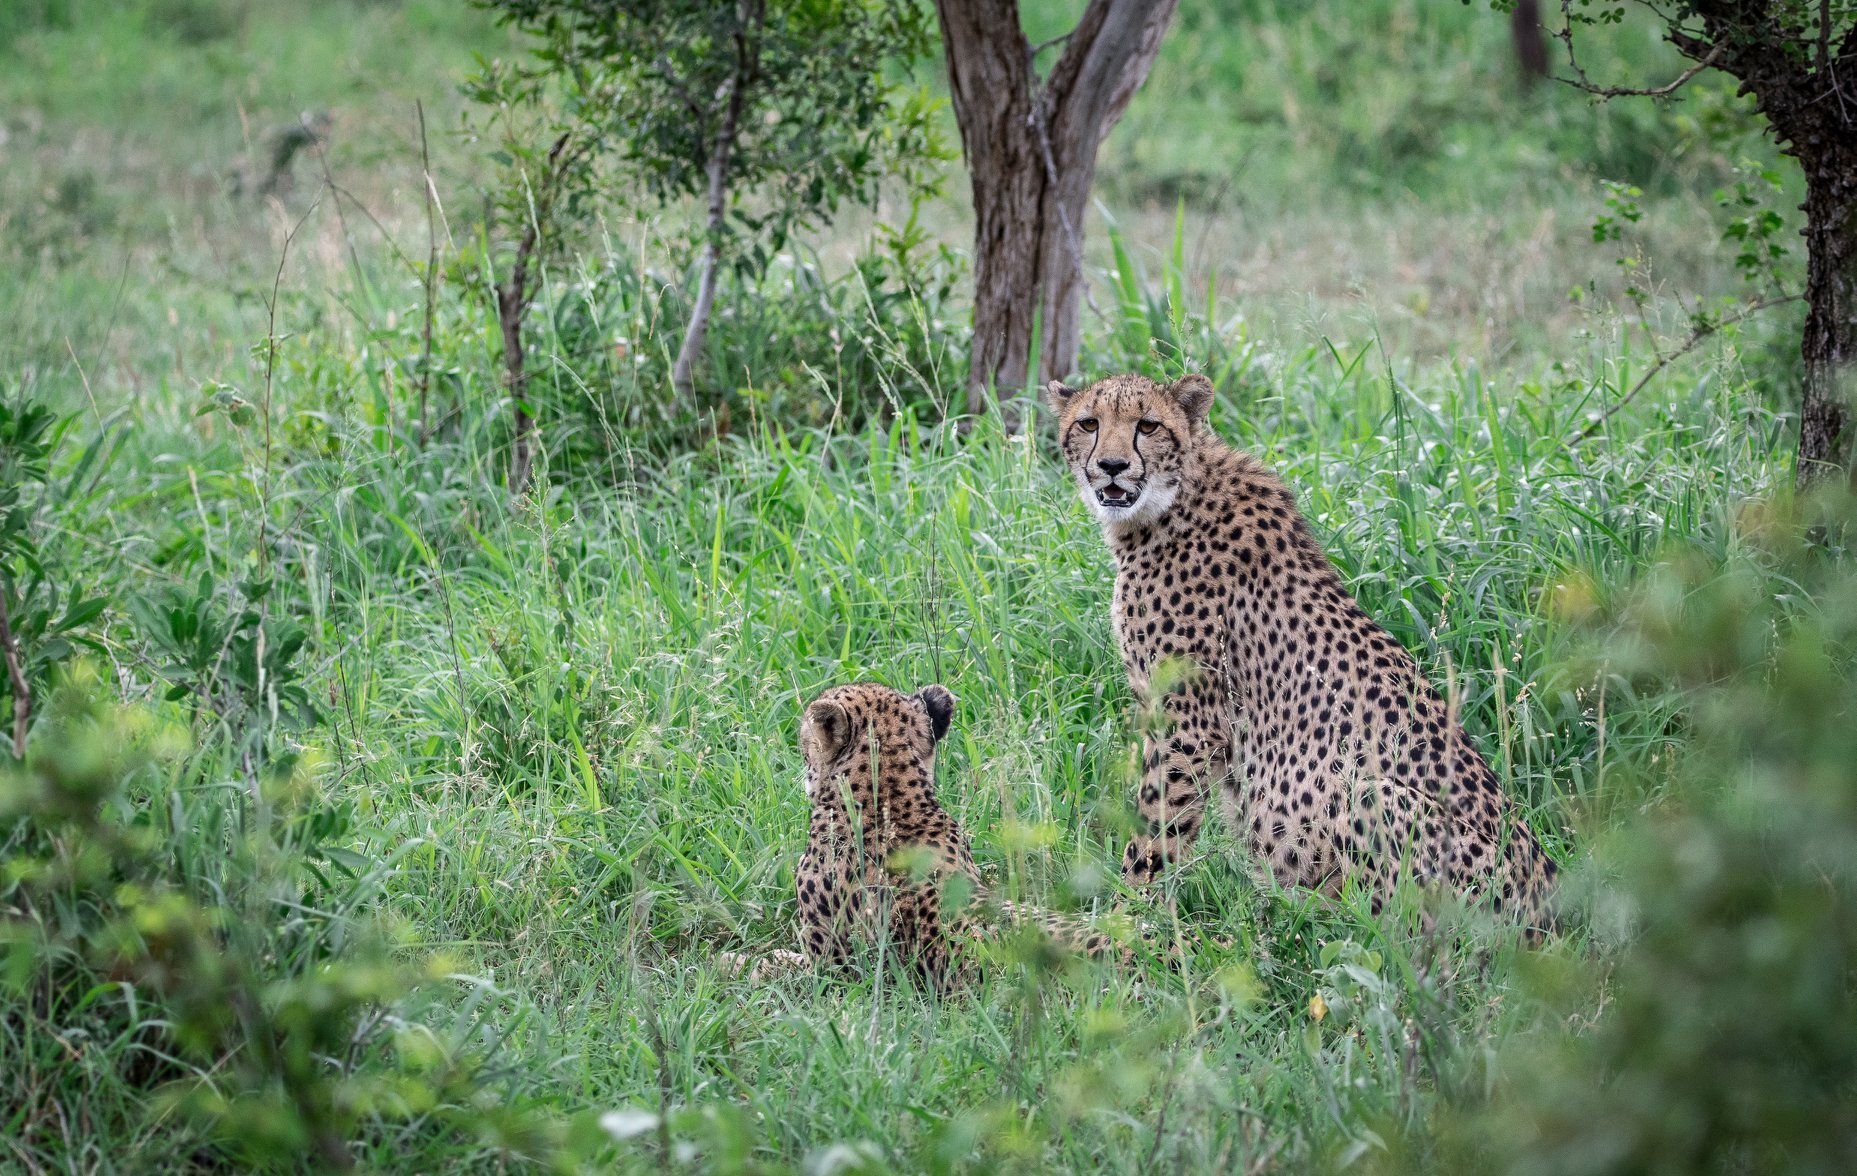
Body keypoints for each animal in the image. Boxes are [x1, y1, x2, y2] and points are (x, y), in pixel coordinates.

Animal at [1043, 371, 1558, 934]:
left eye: (1148, 425)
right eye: (1088, 423)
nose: (1112, 466)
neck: (1171, 501)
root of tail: (1554, 906)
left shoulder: (1188, 726)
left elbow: (1158, 829)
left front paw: (1128, 915)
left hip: (1368, 791)